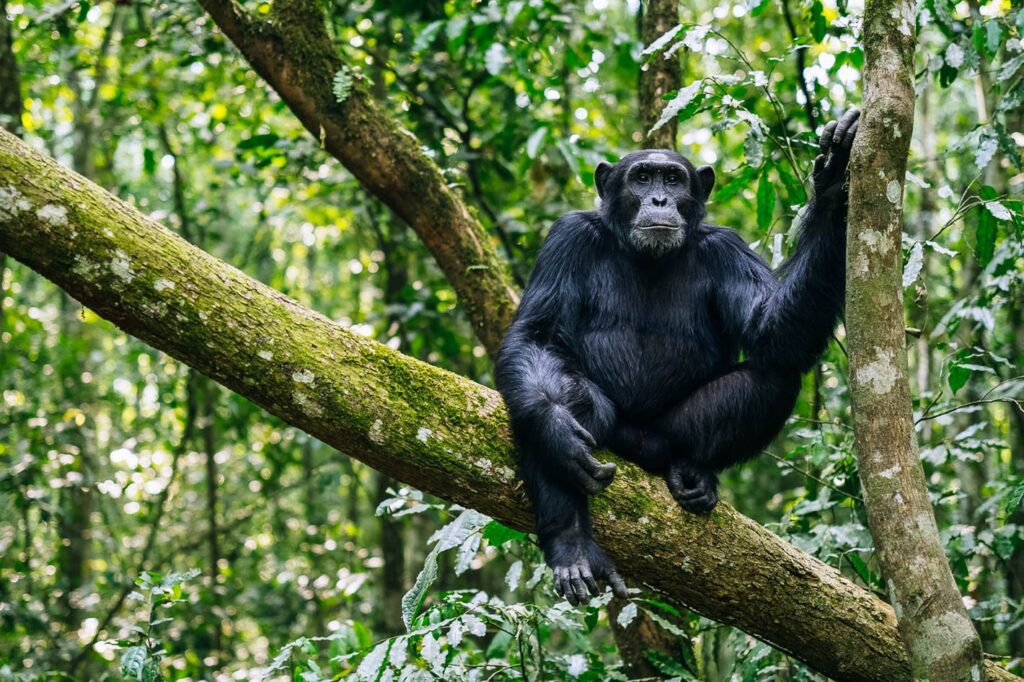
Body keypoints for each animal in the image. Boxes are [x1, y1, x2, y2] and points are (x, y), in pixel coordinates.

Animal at [493, 110, 856, 602]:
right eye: (642, 177)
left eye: (672, 178)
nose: (660, 198)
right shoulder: (567, 238)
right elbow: (537, 337)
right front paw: (556, 431)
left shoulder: (726, 249)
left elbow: (773, 332)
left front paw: (834, 179)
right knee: (565, 401)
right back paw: (571, 545)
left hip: (666, 437)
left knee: (773, 377)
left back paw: (693, 470)